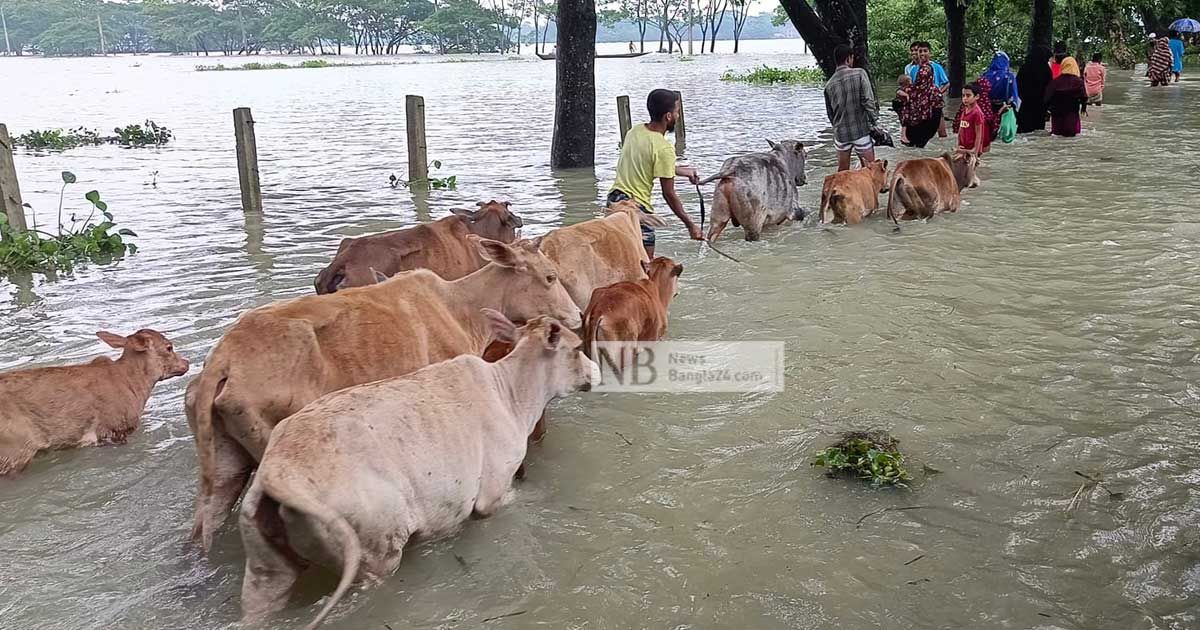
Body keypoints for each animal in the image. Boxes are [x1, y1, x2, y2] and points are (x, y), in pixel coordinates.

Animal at [236, 312, 597, 624]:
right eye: (578, 348)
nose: (596, 372)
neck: (511, 392)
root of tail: (279, 469)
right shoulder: (493, 493)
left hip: (265, 571)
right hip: (376, 549)